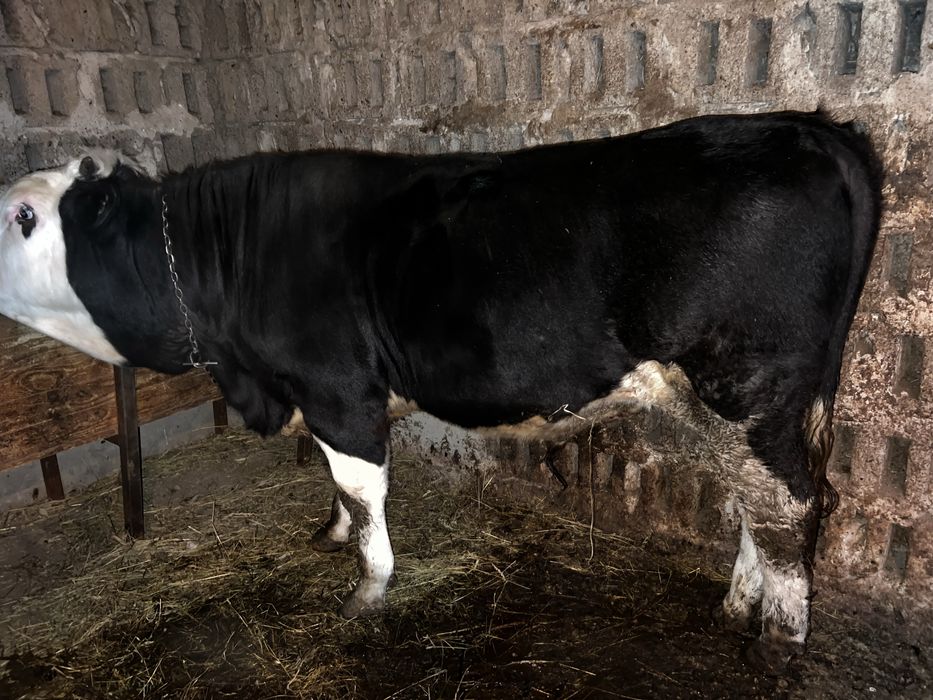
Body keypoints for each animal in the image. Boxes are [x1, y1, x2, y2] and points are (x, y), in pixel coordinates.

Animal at [0, 111, 881, 674]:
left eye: (23, 216)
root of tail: (812, 130)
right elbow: (337, 492)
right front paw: (328, 536)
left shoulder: (339, 393)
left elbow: (364, 497)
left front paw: (366, 592)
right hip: (733, 399)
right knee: (756, 502)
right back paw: (739, 603)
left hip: (749, 386)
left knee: (792, 505)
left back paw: (777, 641)